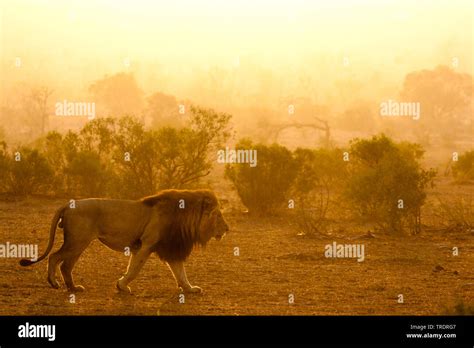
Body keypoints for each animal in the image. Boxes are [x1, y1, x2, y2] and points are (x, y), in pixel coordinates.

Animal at [19, 190, 231, 294]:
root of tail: (68, 203)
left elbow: (180, 273)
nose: (228, 229)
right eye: (219, 216)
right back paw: (54, 283)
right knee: (55, 258)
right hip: (77, 241)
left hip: (79, 243)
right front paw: (122, 286)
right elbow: (135, 269)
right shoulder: (146, 245)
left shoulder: (170, 248)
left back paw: (73, 288)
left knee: (66, 265)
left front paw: (190, 289)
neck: (186, 218)